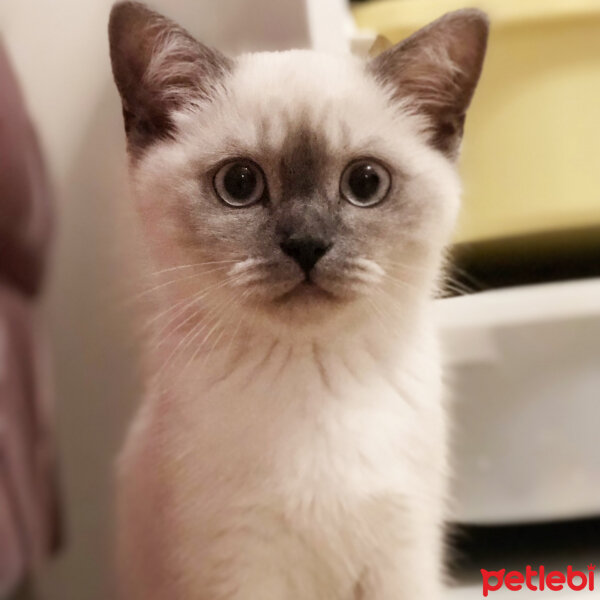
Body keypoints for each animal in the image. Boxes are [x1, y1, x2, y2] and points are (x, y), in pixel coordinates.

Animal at [108, 2, 486, 596]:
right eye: (239, 184)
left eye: (366, 183)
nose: (307, 244)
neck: (314, 376)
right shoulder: (238, 565)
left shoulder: (401, 557)